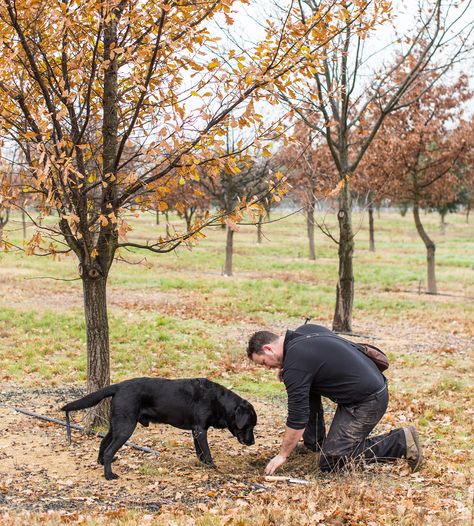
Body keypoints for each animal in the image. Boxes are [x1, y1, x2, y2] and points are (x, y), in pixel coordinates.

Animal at [62, 380, 258, 482]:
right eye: (250, 425)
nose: (252, 442)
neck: (219, 401)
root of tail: (119, 385)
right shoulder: (201, 430)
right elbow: (207, 452)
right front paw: (213, 468)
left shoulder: (196, 431)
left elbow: (200, 452)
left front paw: (203, 464)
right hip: (126, 428)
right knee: (110, 449)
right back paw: (109, 475)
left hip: (116, 425)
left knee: (103, 442)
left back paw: (101, 463)